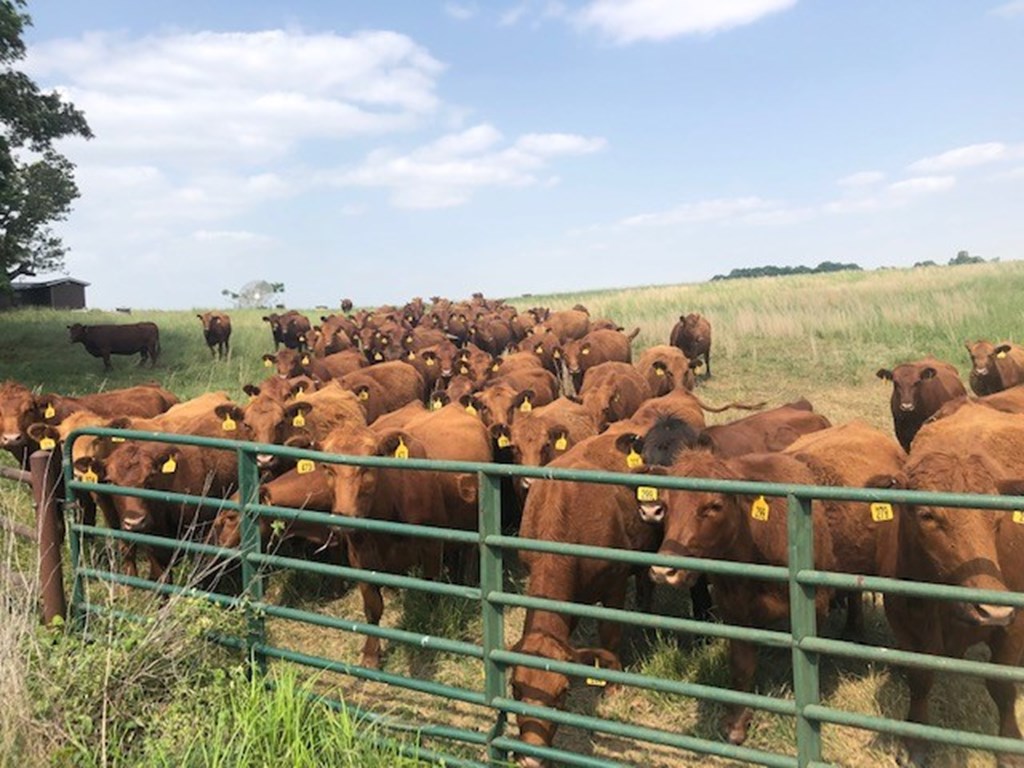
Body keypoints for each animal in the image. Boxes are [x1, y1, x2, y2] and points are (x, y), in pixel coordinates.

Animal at [868, 405, 1024, 765]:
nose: (993, 610)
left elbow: (1003, 686)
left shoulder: (1014, 626)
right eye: (926, 515)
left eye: (998, 517)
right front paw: (915, 741)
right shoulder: (905, 623)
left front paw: (1010, 747)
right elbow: (920, 679)